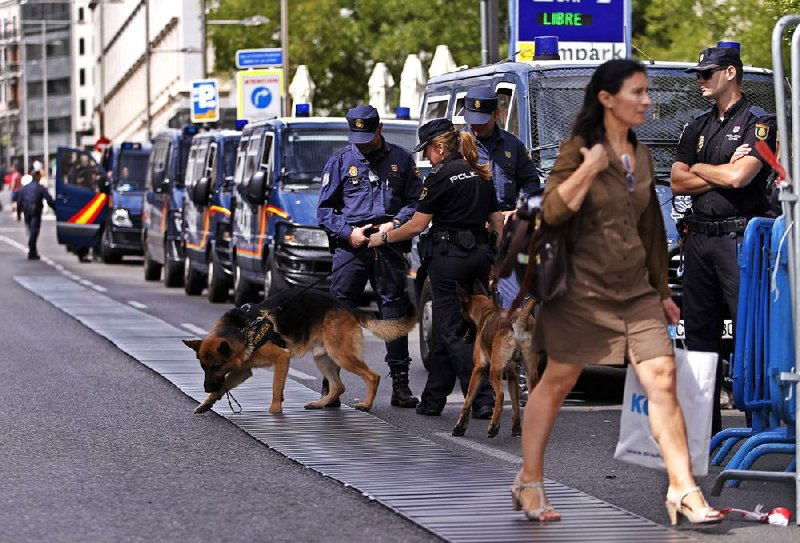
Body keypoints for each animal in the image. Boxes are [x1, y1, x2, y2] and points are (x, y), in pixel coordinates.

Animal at [450, 286, 536, 440]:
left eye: (461, 315)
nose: (456, 331)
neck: (487, 312)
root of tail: (520, 319)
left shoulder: (478, 369)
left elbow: (468, 401)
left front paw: (460, 427)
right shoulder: (512, 375)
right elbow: (515, 406)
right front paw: (516, 429)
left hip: (493, 372)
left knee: (500, 395)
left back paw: (494, 426)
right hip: (530, 373)